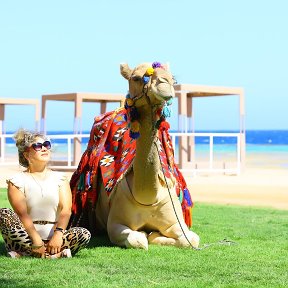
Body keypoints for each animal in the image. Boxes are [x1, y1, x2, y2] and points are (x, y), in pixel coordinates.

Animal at [70, 61, 200, 250]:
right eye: (137, 78)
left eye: (173, 78)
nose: (165, 82)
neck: (147, 197)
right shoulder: (115, 223)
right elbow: (137, 240)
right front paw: (147, 234)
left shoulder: (176, 222)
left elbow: (190, 240)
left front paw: (154, 234)